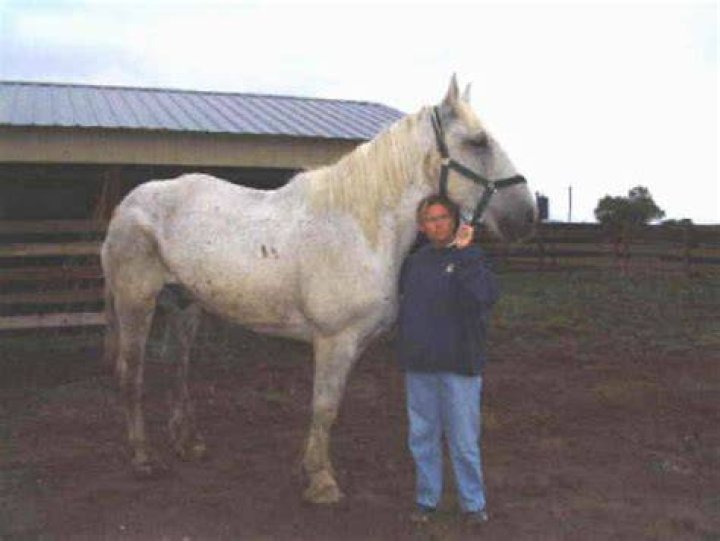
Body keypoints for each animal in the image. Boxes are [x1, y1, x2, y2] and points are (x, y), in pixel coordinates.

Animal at [101, 76, 537, 504]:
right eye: (477, 142)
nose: (527, 215)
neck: (358, 226)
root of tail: (128, 204)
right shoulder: (334, 340)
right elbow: (324, 407)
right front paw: (321, 480)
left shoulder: (352, 344)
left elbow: (331, 407)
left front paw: (309, 469)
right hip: (137, 302)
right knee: (132, 374)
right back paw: (143, 458)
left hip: (185, 305)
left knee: (179, 368)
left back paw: (187, 443)